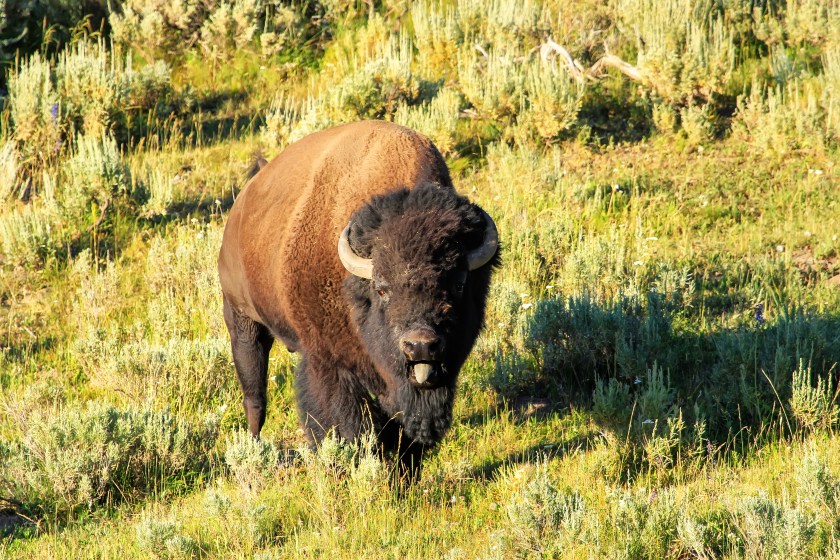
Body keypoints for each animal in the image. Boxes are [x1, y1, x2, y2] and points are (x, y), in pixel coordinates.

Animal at [218, 120, 499, 466]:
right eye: (382, 288)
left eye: (459, 284)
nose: (420, 345)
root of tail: (245, 199)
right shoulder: (328, 364)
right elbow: (348, 427)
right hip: (241, 320)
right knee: (254, 395)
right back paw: (255, 450)